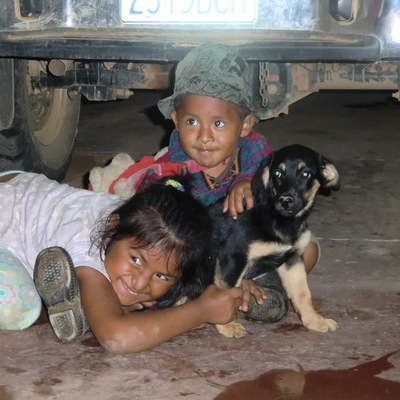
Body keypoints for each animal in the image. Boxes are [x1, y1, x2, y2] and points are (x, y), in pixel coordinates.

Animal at [209, 144, 340, 338]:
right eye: (277, 173)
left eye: (306, 174)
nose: (285, 200)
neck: (278, 218)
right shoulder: (233, 257)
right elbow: (226, 294)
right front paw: (226, 326)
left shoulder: (292, 259)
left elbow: (303, 294)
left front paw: (315, 321)